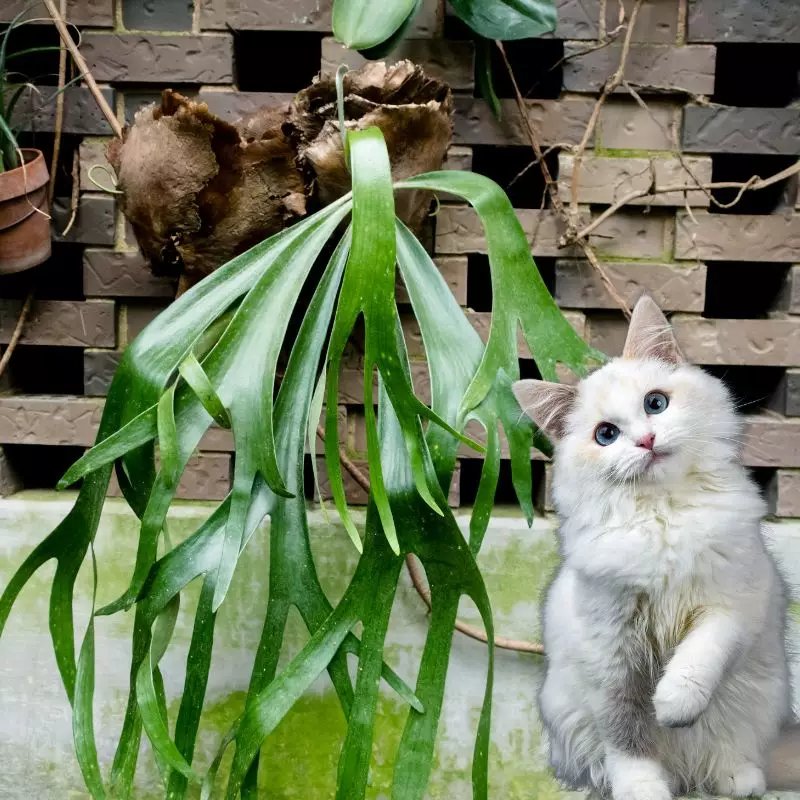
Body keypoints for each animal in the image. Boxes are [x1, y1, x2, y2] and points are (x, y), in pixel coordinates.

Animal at [512, 296, 800, 796]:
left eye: (656, 403)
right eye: (606, 435)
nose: (646, 440)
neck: (663, 515)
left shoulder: (730, 606)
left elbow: (697, 659)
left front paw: (673, 705)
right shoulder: (612, 656)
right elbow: (628, 739)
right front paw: (643, 788)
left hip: (759, 701)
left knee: (732, 754)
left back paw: (738, 779)